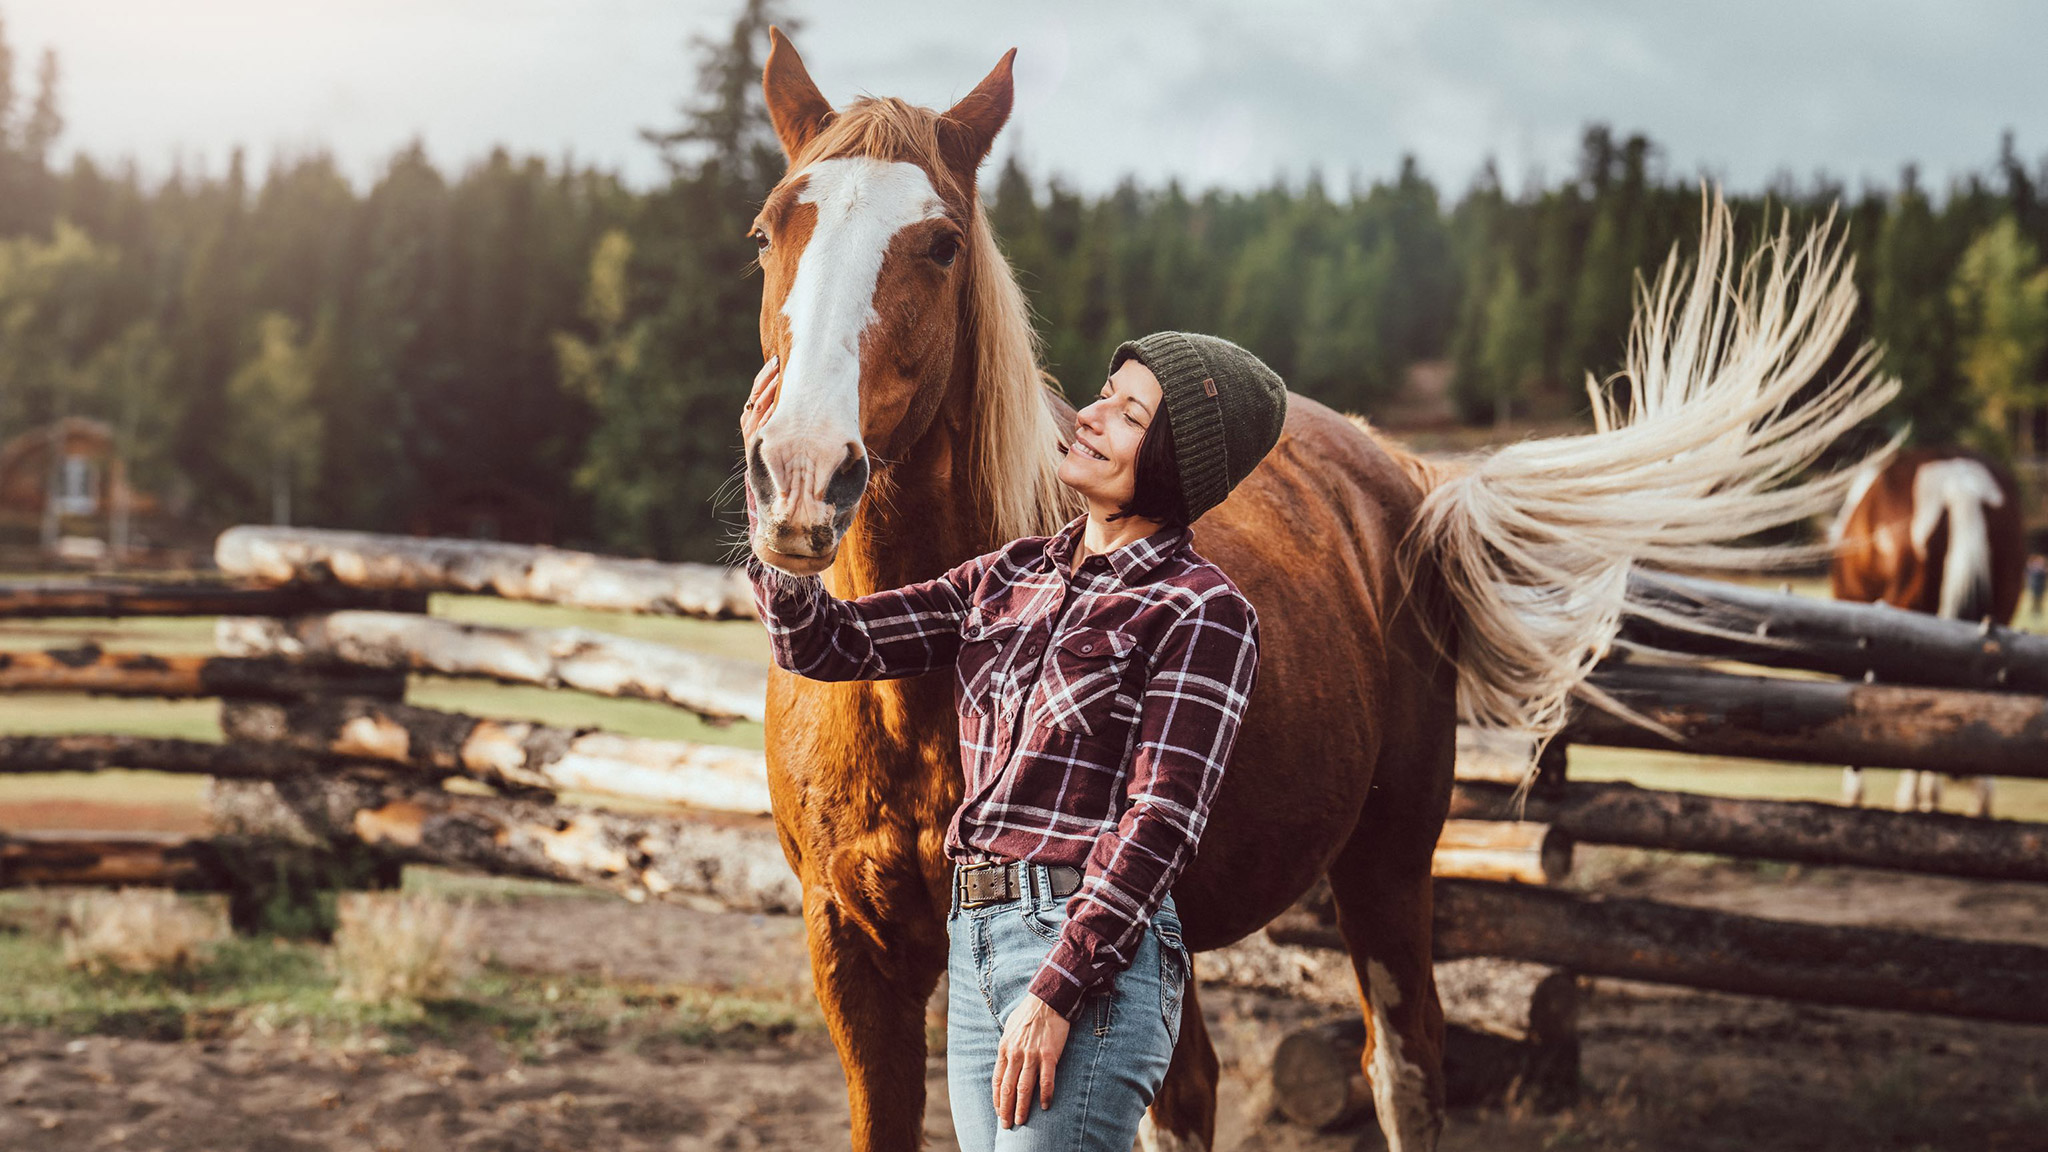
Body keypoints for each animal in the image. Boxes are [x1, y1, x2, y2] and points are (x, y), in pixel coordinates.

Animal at [745, 29, 1892, 1147]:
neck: (913, 697)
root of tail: (1405, 481)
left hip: (1383, 870)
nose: (798, 470)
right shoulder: (854, 961)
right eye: (766, 233)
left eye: (939, 245)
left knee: (1402, 1069)